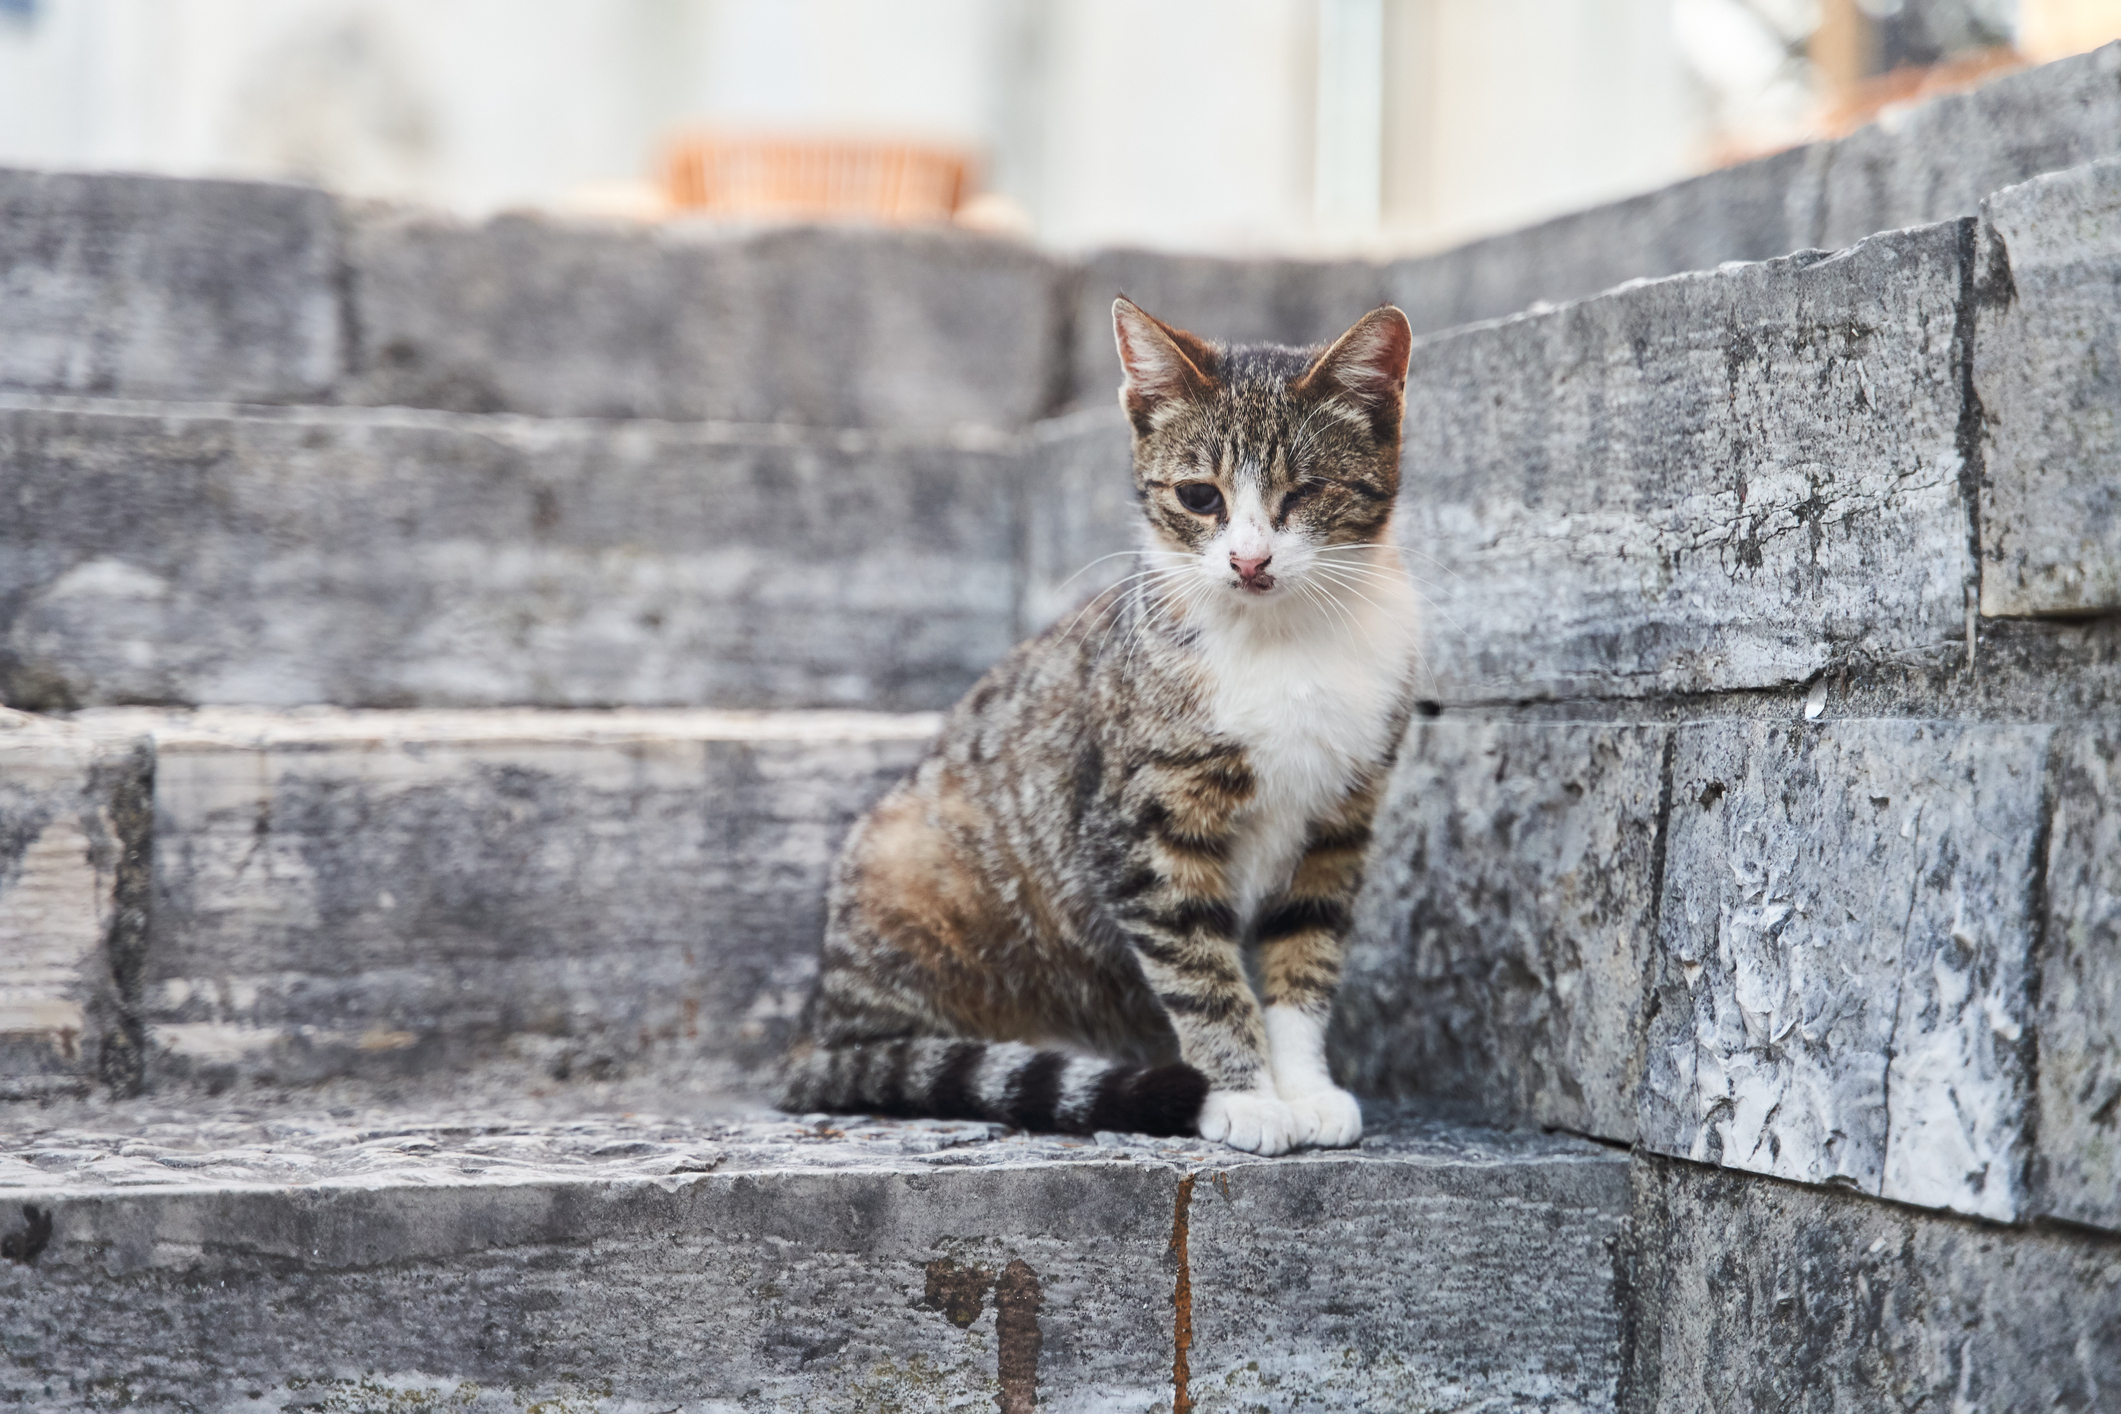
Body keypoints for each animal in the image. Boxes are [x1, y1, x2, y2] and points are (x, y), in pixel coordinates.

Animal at [772, 296, 1416, 1153]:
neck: (1281, 642)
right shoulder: (1138, 831)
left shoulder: (1339, 822)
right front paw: (1243, 1094)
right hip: (909, 869)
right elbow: (1200, 972)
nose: (1249, 563)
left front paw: (1304, 1088)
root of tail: (814, 1026)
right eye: (1199, 497)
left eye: (1305, 491)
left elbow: (1305, 956)